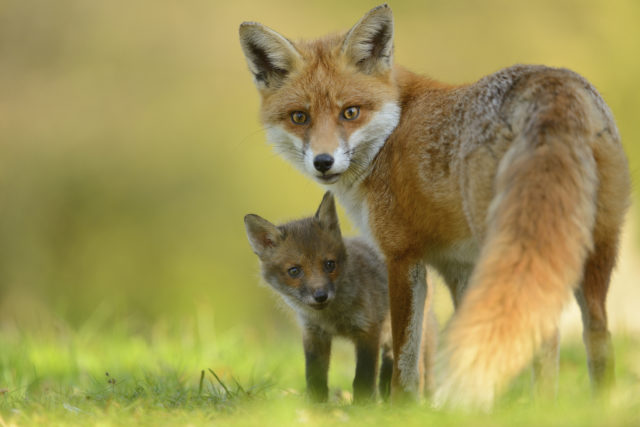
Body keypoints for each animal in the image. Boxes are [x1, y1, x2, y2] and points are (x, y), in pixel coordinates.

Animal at [239, 4, 632, 412]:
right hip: (595, 247)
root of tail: (554, 86)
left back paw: (541, 408)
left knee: (545, 330)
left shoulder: (402, 255)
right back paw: (593, 407)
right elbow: (467, 336)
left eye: (351, 112)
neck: (391, 132)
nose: (323, 162)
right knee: (598, 334)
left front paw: (402, 409)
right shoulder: (458, 266)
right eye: (299, 117)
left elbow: (405, 352)